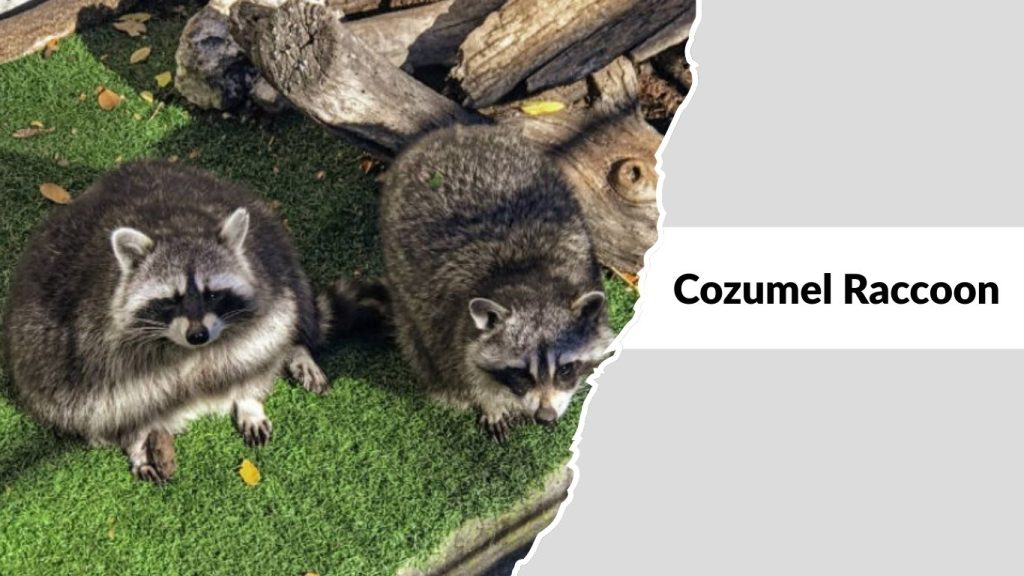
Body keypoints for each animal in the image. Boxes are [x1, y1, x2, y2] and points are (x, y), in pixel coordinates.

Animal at [2, 161, 365, 482]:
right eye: (171, 299)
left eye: (212, 294)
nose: (198, 335)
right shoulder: (97, 346)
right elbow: (112, 403)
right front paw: (136, 442)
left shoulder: (267, 293)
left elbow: (261, 346)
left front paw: (249, 398)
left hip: (280, 253)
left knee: (297, 308)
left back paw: (298, 349)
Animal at [379, 124, 614, 442]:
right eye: (521, 372)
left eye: (565, 369)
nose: (545, 417)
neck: (529, 276)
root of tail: (450, 132)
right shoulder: (448, 324)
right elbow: (464, 371)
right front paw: (490, 403)